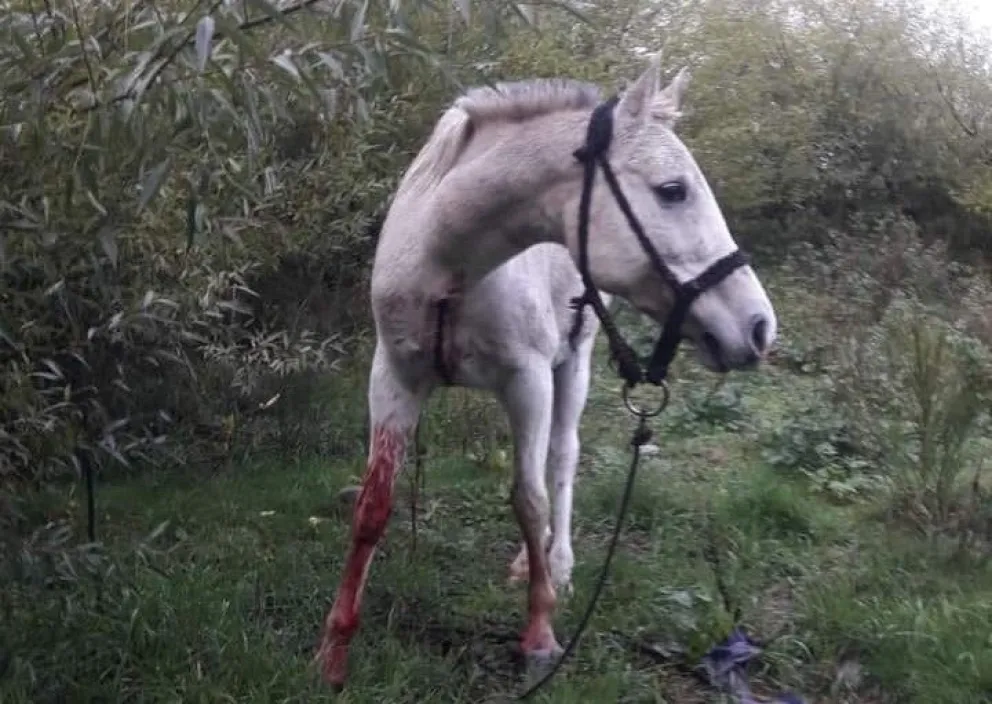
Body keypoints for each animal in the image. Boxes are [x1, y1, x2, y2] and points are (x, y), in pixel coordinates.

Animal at [316, 52, 778, 689]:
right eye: (672, 190)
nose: (759, 327)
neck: (449, 264)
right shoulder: (394, 378)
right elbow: (371, 507)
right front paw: (334, 651)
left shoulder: (528, 380)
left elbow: (529, 498)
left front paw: (539, 634)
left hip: (573, 366)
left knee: (561, 459)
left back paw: (555, 564)